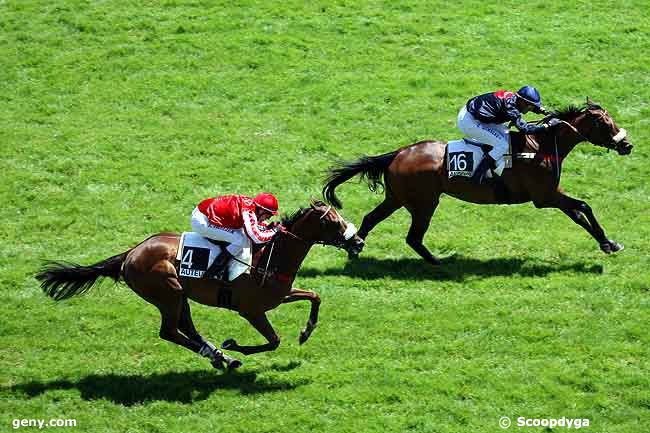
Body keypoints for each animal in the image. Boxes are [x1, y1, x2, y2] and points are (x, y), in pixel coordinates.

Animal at [36, 202, 364, 368]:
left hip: (179, 295)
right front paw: (234, 344)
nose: (359, 242)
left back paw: (220, 357)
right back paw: (222, 356)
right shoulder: (251, 310)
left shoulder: (278, 295)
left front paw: (306, 332)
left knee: (185, 329)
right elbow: (274, 340)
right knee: (170, 331)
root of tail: (130, 253)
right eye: (332, 222)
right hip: (168, 291)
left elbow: (315, 295)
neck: (269, 257)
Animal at [322, 97, 632, 264]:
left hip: (397, 198)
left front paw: (608, 243)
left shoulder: (551, 193)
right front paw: (608, 242)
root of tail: (398, 153)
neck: (540, 144)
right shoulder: (544, 197)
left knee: (371, 218)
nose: (627, 145)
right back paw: (437, 262)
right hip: (423, 202)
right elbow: (584, 206)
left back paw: (355, 250)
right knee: (412, 236)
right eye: (606, 123)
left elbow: (578, 214)